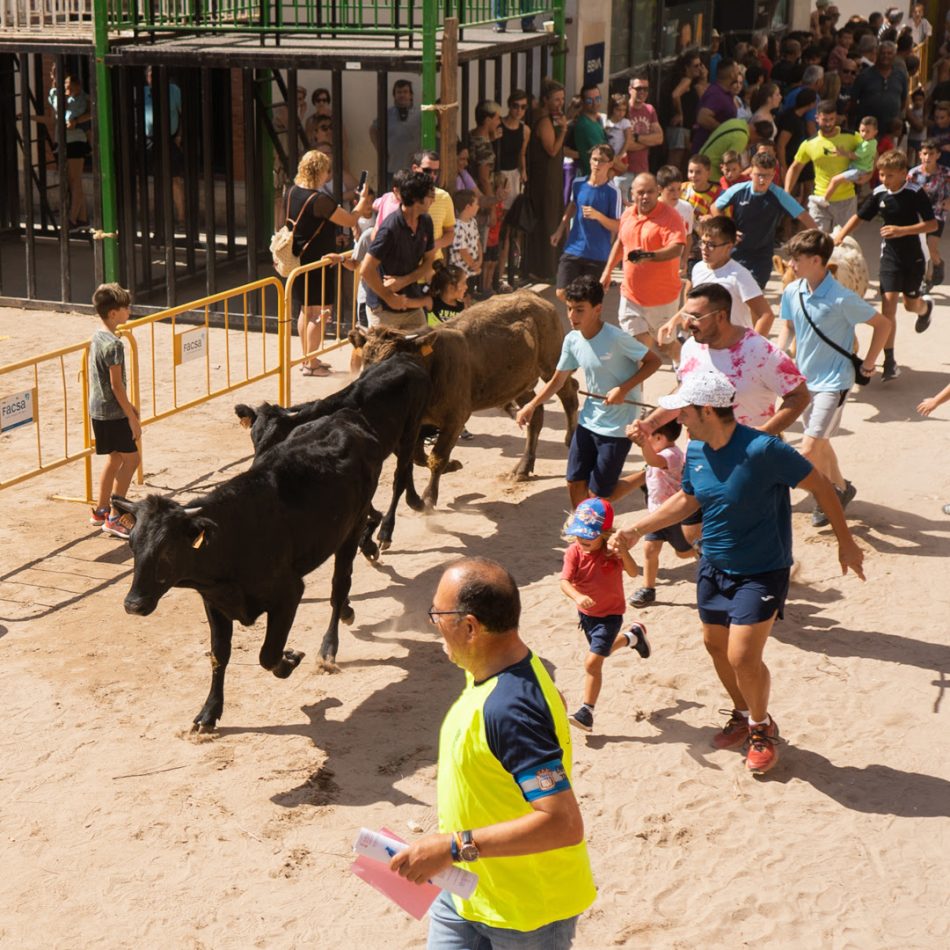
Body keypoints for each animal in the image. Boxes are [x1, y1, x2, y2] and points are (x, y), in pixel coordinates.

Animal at [350, 292, 580, 510]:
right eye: (366, 362)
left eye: (394, 361)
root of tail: (532, 296)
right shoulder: (418, 422)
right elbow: (418, 456)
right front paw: (452, 466)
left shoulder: (456, 418)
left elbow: (437, 457)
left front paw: (429, 497)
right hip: (518, 383)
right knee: (535, 414)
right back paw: (523, 468)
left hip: (552, 364)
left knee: (570, 394)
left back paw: (570, 439)